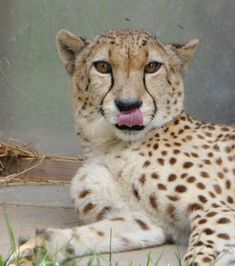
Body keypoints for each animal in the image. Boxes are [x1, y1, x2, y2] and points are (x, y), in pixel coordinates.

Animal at [8, 29, 235, 266]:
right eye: (103, 67)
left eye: (152, 67)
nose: (128, 105)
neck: (107, 146)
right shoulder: (147, 221)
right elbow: (90, 233)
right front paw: (31, 251)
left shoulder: (217, 210)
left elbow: (198, 255)